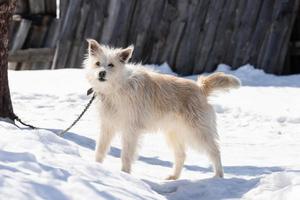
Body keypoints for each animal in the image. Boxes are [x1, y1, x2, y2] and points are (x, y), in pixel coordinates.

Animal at [85, 39, 241, 180]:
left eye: (111, 65)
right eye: (97, 63)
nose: (101, 73)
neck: (117, 87)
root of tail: (201, 88)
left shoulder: (131, 130)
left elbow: (126, 155)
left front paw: (124, 174)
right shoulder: (108, 126)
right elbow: (100, 150)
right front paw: (96, 167)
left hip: (197, 132)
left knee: (215, 151)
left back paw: (218, 176)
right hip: (173, 133)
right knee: (181, 155)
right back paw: (174, 177)